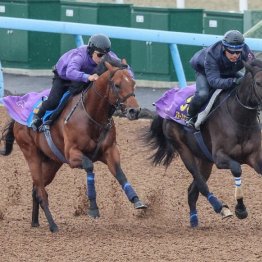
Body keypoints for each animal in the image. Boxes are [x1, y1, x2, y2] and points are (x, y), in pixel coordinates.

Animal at [0, 56, 146, 231]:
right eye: (117, 85)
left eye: (133, 83)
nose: (134, 111)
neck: (92, 116)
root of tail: (16, 119)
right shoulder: (72, 155)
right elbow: (89, 165)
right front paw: (93, 208)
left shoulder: (110, 151)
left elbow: (119, 173)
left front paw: (136, 200)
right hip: (31, 154)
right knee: (41, 191)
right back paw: (53, 225)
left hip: (52, 162)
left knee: (36, 188)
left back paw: (35, 222)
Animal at [144, 59, 262, 227]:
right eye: (258, 82)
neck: (239, 119)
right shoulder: (220, 158)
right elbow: (237, 169)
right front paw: (240, 209)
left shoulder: (254, 157)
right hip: (183, 149)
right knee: (200, 184)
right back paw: (220, 207)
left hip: (205, 160)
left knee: (192, 190)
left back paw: (194, 220)